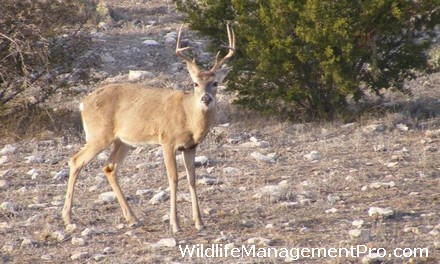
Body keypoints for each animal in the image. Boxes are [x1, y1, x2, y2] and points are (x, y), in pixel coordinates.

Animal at [61, 23, 237, 232]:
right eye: (195, 83)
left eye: (215, 83)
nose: (206, 98)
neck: (190, 119)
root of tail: (83, 103)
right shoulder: (167, 141)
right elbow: (173, 178)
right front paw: (175, 224)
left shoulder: (190, 147)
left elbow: (192, 179)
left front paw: (199, 222)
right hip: (99, 135)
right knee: (76, 160)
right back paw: (68, 218)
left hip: (123, 141)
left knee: (109, 167)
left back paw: (132, 218)